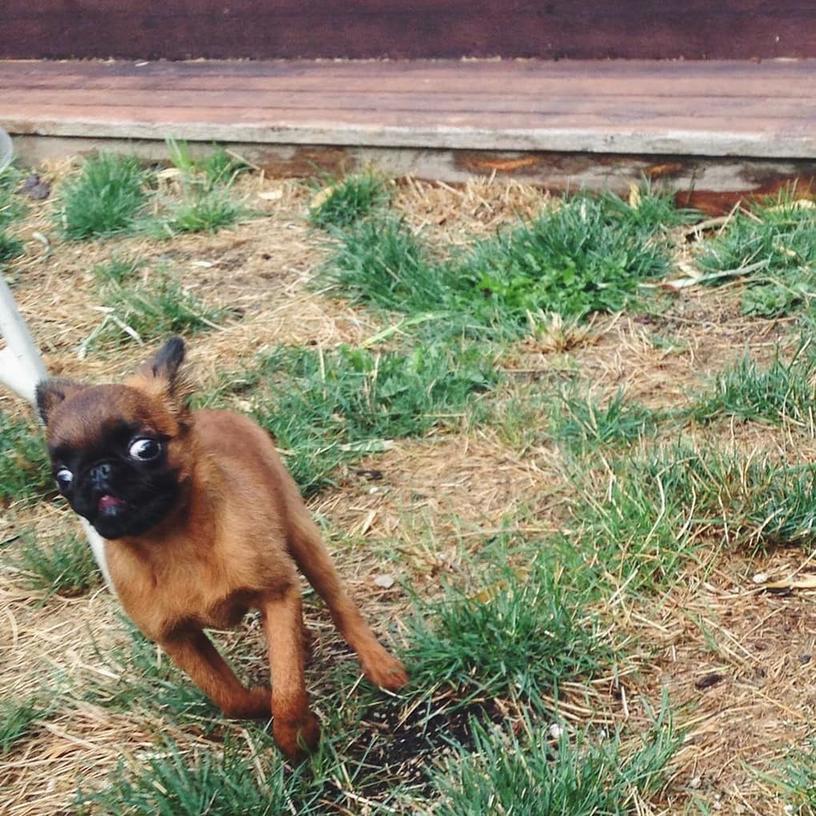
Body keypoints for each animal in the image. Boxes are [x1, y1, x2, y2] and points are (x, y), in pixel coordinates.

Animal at [35, 336, 408, 760]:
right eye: (62, 477)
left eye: (144, 448)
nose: (98, 471)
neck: (171, 539)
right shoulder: (177, 638)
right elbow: (228, 696)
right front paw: (260, 701)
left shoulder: (277, 593)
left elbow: (288, 687)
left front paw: (297, 736)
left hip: (304, 539)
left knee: (340, 606)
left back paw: (379, 664)